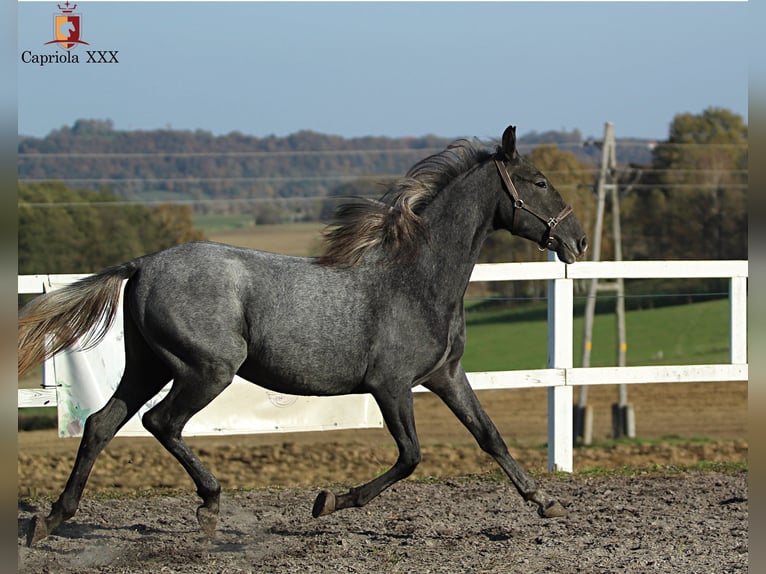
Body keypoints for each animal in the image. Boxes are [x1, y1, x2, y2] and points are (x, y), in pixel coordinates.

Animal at [16, 124, 588, 548]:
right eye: (538, 181)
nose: (578, 240)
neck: (416, 279)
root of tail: (143, 264)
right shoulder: (391, 385)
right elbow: (410, 456)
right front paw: (327, 502)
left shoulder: (446, 375)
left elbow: (490, 437)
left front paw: (547, 503)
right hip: (206, 370)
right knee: (161, 422)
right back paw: (209, 507)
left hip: (148, 366)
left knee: (100, 424)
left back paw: (50, 520)